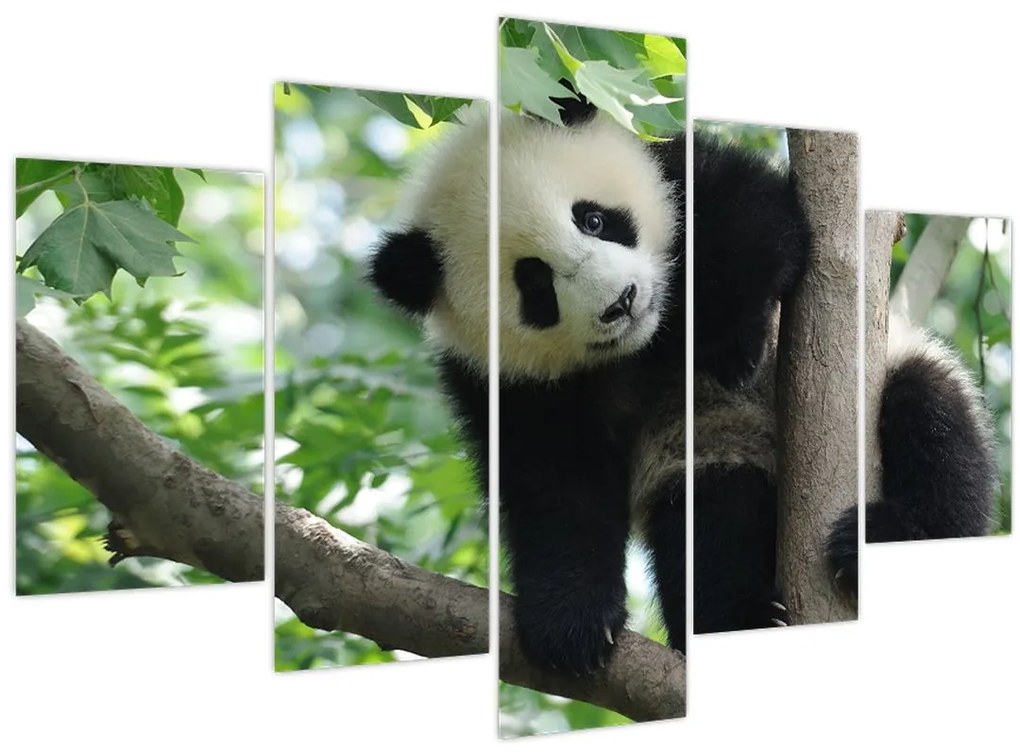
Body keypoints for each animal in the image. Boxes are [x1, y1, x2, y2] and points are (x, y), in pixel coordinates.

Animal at [367, 99, 998, 674]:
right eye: (536, 284)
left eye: (593, 220)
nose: (622, 302)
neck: (646, 344)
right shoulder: (507, 382)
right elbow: (554, 483)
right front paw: (570, 623)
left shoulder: (678, 172)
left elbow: (758, 220)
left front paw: (731, 344)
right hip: (708, 456)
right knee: (709, 527)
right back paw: (737, 617)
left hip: (897, 372)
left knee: (933, 428)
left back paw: (883, 536)